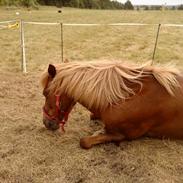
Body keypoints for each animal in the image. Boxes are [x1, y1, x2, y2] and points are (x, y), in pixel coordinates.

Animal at [40, 60, 183, 149]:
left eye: (45, 93)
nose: (46, 123)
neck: (127, 95)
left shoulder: (125, 135)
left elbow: (84, 141)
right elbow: (93, 116)